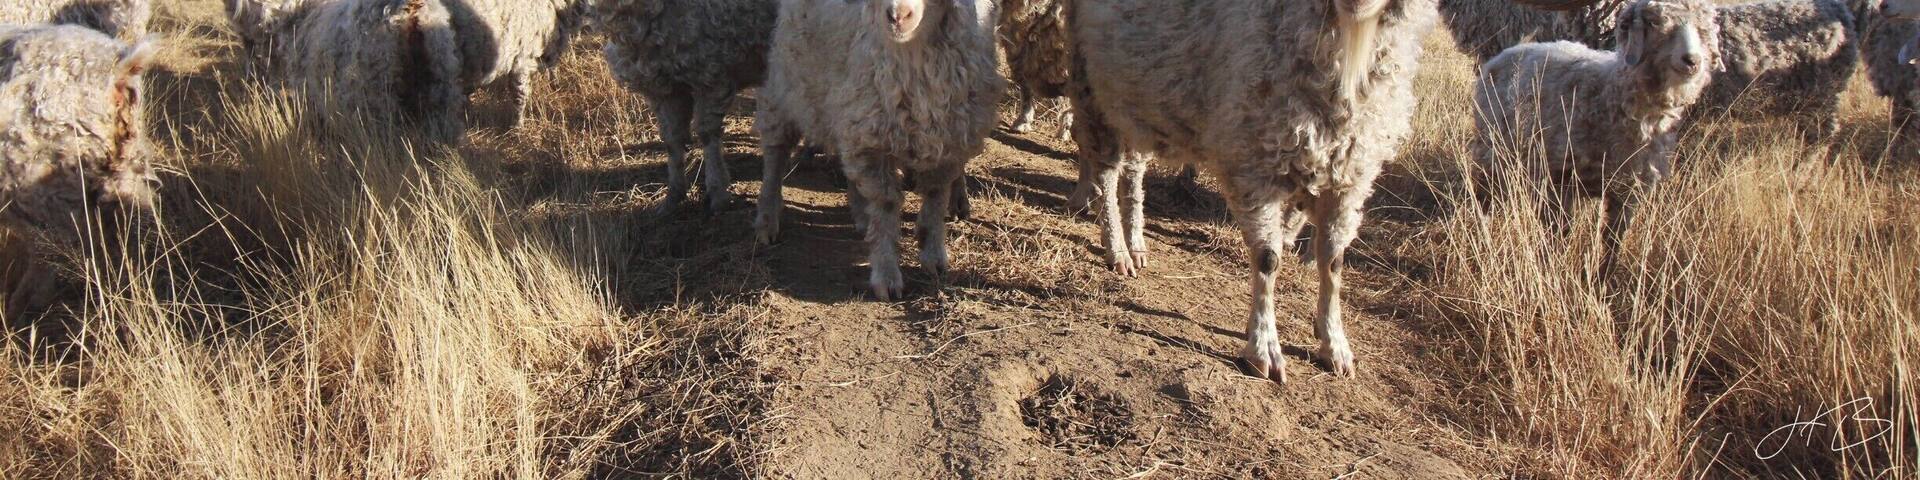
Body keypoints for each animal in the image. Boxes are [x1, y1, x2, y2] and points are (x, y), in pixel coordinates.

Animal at [596, 0, 777, 212]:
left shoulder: (710, 77)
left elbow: (707, 135)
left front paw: (717, 193)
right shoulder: (663, 90)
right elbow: (672, 141)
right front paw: (673, 196)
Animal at [753, 0, 1004, 300]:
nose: (897, 16)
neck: (914, 56)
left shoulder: (950, 138)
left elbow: (935, 197)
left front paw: (933, 255)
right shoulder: (872, 136)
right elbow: (886, 204)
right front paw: (887, 275)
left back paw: (861, 215)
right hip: (790, 77)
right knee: (775, 153)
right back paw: (767, 219)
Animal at [1473, 0, 1720, 244]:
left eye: (1704, 28)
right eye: (1654, 22)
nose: (1692, 61)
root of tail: (1508, 52)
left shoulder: (1628, 191)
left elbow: (1612, 246)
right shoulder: (1559, 180)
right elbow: (1560, 237)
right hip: (1492, 153)